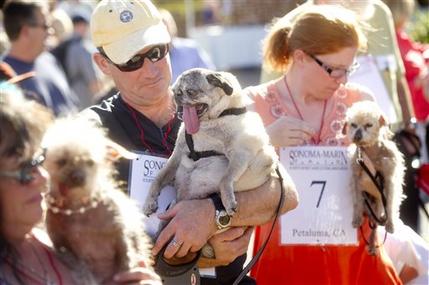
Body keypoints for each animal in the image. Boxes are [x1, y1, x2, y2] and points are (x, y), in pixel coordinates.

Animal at [43, 117, 152, 282]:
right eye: (61, 161)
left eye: (90, 162)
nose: (78, 177)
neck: (80, 209)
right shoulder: (62, 246)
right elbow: (81, 269)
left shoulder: (121, 232)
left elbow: (126, 257)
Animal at [342, 100, 402, 253]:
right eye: (353, 124)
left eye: (369, 125)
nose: (357, 136)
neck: (371, 152)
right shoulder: (356, 180)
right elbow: (356, 202)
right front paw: (356, 218)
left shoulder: (389, 181)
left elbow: (390, 205)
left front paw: (391, 223)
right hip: (369, 205)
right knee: (373, 223)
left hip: (379, 205)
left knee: (377, 222)